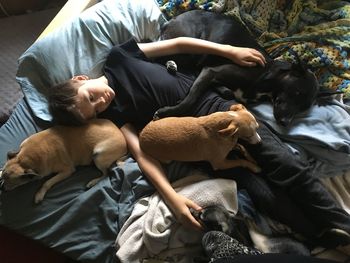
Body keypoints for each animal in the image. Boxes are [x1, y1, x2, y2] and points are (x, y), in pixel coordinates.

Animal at [0, 119, 128, 204]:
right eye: (3, 178)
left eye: (12, 183)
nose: (2, 188)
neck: (25, 159)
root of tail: (125, 142)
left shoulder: (67, 170)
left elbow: (47, 182)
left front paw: (39, 194)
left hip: (98, 155)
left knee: (106, 173)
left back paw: (93, 182)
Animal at [154, 11, 318, 128]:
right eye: (297, 92)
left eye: (304, 107)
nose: (285, 123)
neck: (266, 73)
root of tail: (171, 20)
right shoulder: (211, 71)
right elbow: (191, 98)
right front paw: (167, 112)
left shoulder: (210, 72)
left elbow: (225, 92)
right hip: (191, 47)